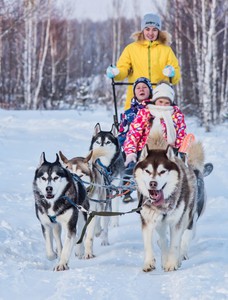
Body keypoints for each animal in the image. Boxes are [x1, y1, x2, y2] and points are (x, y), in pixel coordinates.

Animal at [59, 123, 124, 258]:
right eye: (68, 175)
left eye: (80, 175)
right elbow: (80, 234)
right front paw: (79, 249)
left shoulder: (93, 210)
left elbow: (89, 235)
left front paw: (88, 252)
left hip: (106, 203)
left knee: (103, 222)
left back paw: (103, 237)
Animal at [134, 135, 207, 274]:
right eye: (147, 171)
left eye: (163, 171)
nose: (153, 183)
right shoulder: (148, 220)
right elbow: (148, 243)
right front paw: (149, 262)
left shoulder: (177, 222)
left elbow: (175, 244)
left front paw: (172, 263)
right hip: (160, 223)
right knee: (163, 239)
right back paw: (164, 257)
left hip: (186, 218)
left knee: (181, 240)